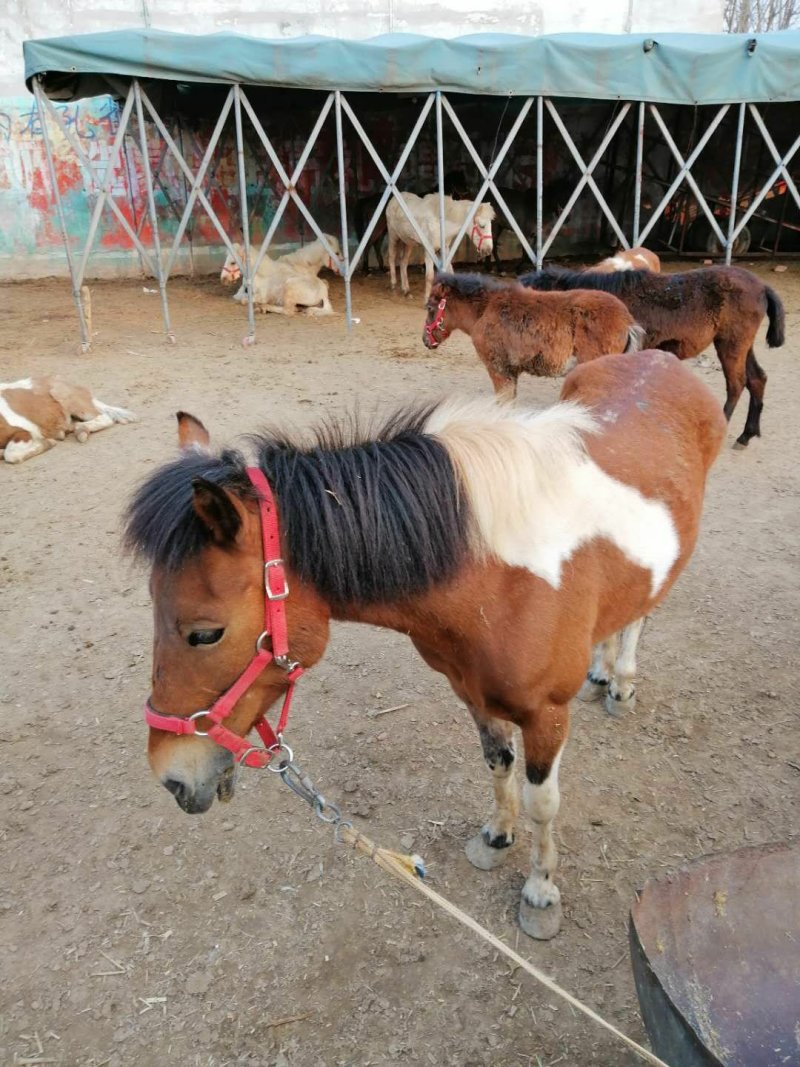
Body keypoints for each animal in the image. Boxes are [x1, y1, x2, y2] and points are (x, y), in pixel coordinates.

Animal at [0, 376, 136, 464]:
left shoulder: (25, 431)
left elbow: (11, 455)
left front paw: (48, 443)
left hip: (67, 399)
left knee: (104, 417)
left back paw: (79, 431)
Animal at [124, 349, 726, 941]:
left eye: (204, 633)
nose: (172, 778)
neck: (493, 578)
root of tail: (660, 358)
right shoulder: (472, 692)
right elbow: (498, 764)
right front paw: (496, 838)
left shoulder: (547, 716)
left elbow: (543, 803)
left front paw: (540, 892)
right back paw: (602, 670)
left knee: (641, 617)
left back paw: (620, 683)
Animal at [422, 272, 644, 398]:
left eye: (430, 308)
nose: (425, 340)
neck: (485, 310)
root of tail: (627, 321)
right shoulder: (511, 372)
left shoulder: (498, 369)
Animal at [518, 264, 785, 447]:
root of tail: (762, 287)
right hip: (741, 345)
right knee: (757, 379)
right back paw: (747, 434)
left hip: (730, 344)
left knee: (737, 384)